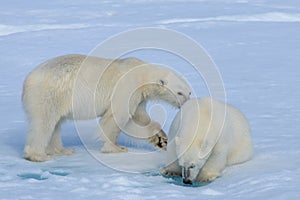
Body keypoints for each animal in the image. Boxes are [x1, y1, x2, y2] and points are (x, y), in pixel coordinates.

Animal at [22, 54, 191, 162]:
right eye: (179, 92)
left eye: (188, 92)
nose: (187, 102)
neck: (141, 75)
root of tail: (27, 80)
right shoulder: (126, 88)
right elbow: (116, 117)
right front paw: (116, 148)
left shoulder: (138, 97)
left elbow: (138, 119)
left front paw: (161, 140)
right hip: (48, 94)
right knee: (44, 123)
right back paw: (40, 156)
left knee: (55, 124)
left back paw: (62, 150)